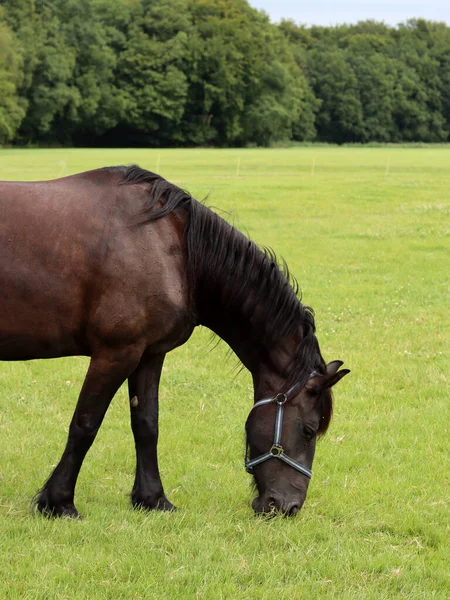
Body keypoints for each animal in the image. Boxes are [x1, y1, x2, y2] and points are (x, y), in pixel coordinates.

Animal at [0, 166, 350, 516]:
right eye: (309, 430)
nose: (288, 506)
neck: (173, 249)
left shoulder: (149, 353)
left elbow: (146, 424)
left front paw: (153, 498)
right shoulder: (116, 353)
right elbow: (85, 424)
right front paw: (59, 502)